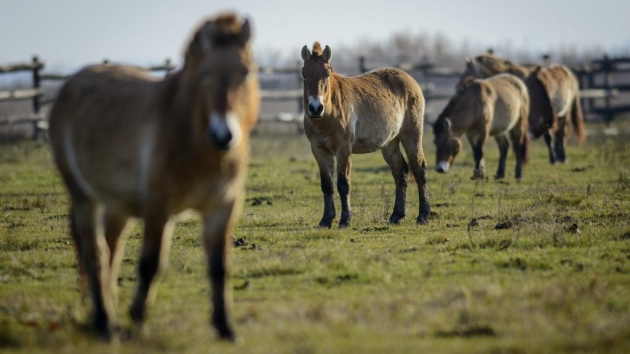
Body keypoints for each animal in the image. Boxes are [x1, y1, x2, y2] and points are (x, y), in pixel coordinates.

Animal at [48, 13, 262, 340]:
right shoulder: (159, 208)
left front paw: (225, 327)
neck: (192, 137)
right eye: (205, 75)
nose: (223, 135)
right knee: (95, 254)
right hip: (84, 198)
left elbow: (219, 267)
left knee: (111, 252)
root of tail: (68, 86)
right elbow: (151, 263)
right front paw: (137, 315)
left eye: (246, 72)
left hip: (117, 206)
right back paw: (105, 323)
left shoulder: (222, 208)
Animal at [300, 41, 430, 227]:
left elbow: (343, 184)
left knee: (420, 169)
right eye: (304, 74)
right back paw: (396, 216)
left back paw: (423, 216)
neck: (328, 114)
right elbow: (327, 185)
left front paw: (345, 220)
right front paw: (325, 220)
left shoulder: (344, 149)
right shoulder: (319, 150)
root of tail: (409, 78)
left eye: (326, 74)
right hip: (390, 144)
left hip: (412, 137)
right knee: (401, 172)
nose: (315, 108)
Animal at [460, 54, 588, 165]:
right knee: (559, 133)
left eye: (466, 74)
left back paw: (562, 157)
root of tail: (568, 71)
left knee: (561, 133)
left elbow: (544, 137)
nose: (460, 88)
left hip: (564, 112)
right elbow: (516, 137)